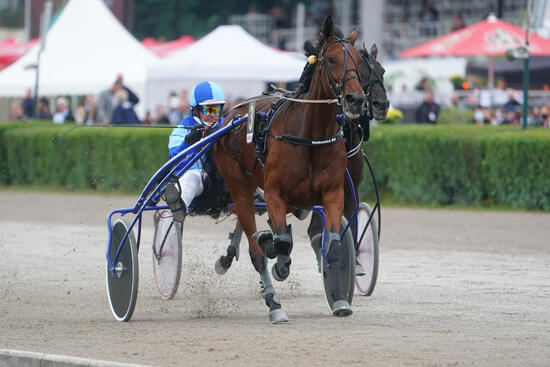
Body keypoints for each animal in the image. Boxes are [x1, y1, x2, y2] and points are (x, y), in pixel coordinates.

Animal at [215, 15, 366, 324]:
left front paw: (339, 298)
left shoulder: (333, 194)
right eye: (331, 59)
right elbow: (282, 244)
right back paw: (274, 303)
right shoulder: (274, 193)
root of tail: (229, 114)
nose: (355, 99)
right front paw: (277, 259)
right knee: (256, 250)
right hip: (240, 189)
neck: (310, 135)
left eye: (358, 59)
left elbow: (333, 245)